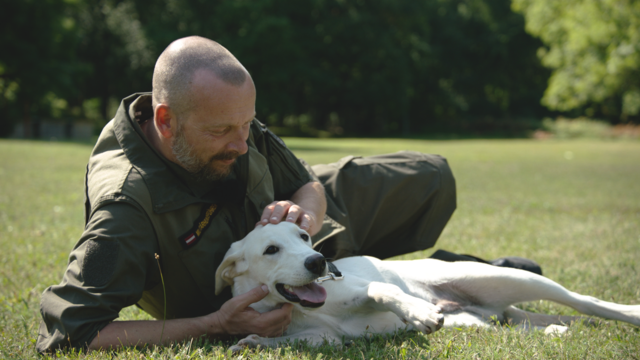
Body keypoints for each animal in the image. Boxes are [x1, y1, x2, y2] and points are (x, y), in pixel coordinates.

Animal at [215, 221, 640, 350]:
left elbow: (384, 290)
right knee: (523, 322)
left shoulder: (358, 287)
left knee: (584, 300)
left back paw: (627, 313)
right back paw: (556, 330)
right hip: (483, 320)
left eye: (304, 236)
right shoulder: (326, 338)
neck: (301, 308)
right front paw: (254, 343)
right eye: (271, 250)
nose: (319, 262)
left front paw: (418, 312)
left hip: (506, 276)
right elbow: (310, 340)